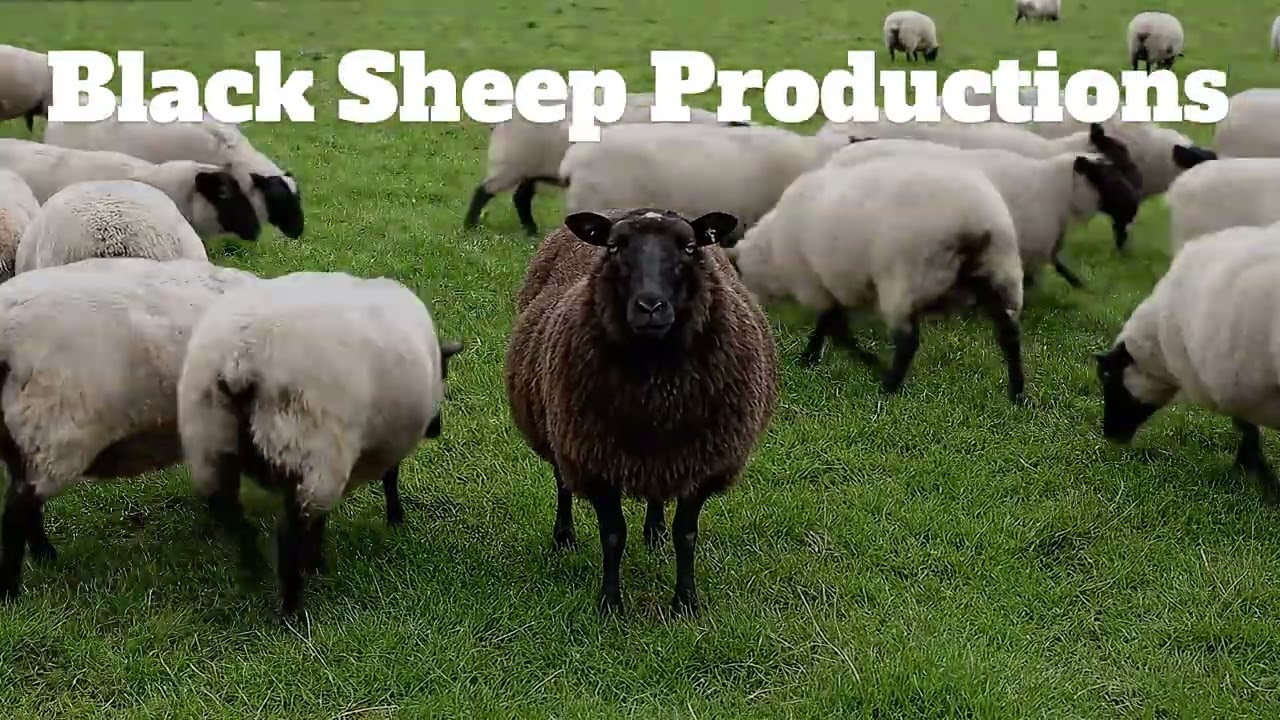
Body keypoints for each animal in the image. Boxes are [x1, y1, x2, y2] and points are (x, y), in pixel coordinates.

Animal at [176, 271, 462, 615]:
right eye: (446, 373)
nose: (436, 429)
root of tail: (240, 359)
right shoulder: (382, 445)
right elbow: (390, 479)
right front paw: (395, 519)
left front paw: (316, 564)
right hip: (310, 445)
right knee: (288, 533)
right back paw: (292, 609)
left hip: (211, 441)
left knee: (233, 516)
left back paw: (254, 571)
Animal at [463, 92, 744, 236]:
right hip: (511, 162)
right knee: (484, 191)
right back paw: (471, 226)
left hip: (529, 167)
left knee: (520, 198)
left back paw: (531, 230)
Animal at [504, 207, 779, 615]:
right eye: (614, 247)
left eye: (690, 247)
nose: (650, 307)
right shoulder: (594, 459)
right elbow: (613, 535)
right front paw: (610, 604)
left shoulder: (702, 463)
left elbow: (686, 535)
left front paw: (685, 603)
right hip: (556, 428)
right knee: (562, 482)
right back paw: (564, 536)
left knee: (657, 494)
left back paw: (655, 532)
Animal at [725, 158, 1026, 402]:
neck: (769, 254)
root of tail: (972, 221)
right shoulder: (832, 286)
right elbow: (828, 325)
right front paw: (809, 358)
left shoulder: (816, 284)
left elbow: (837, 331)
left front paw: (867, 363)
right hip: (1002, 274)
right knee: (1009, 335)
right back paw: (1018, 395)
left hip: (905, 280)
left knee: (907, 342)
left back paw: (890, 385)